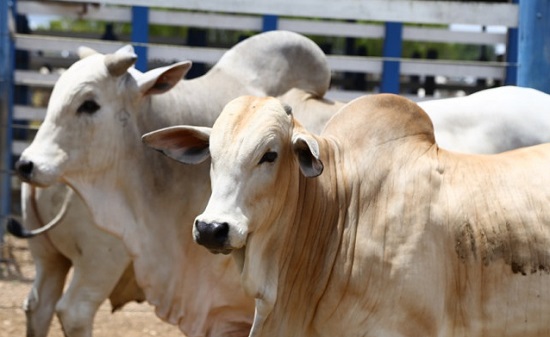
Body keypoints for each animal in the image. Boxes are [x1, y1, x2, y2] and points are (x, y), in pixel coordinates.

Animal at [12, 29, 338, 336]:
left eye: (89, 105)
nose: (27, 165)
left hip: (53, 259)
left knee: (39, 306)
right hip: (96, 261)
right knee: (73, 310)